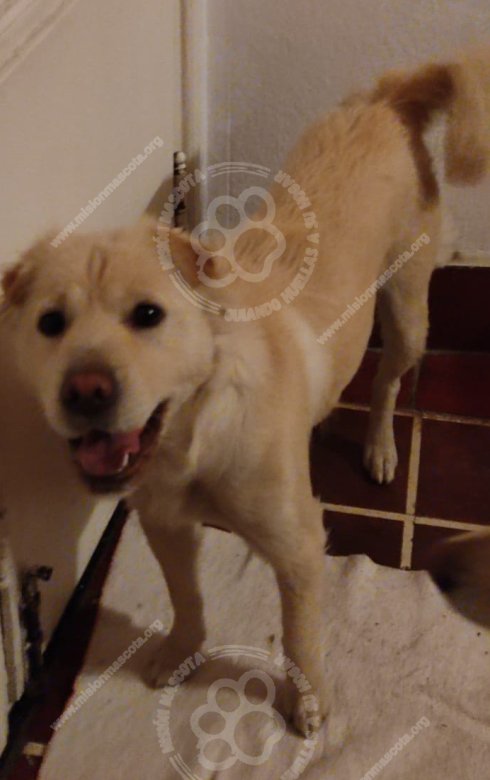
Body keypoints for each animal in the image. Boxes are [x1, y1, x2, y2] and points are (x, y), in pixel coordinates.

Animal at [3, 48, 490, 737]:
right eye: (51, 323)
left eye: (147, 315)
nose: (85, 391)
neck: (194, 433)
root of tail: (388, 96)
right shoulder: (165, 523)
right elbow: (186, 597)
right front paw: (181, 652)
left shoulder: (300, 547)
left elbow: (301, 635)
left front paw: (307, 701)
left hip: (407, 311)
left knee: (389, 381)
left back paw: (380, 448)